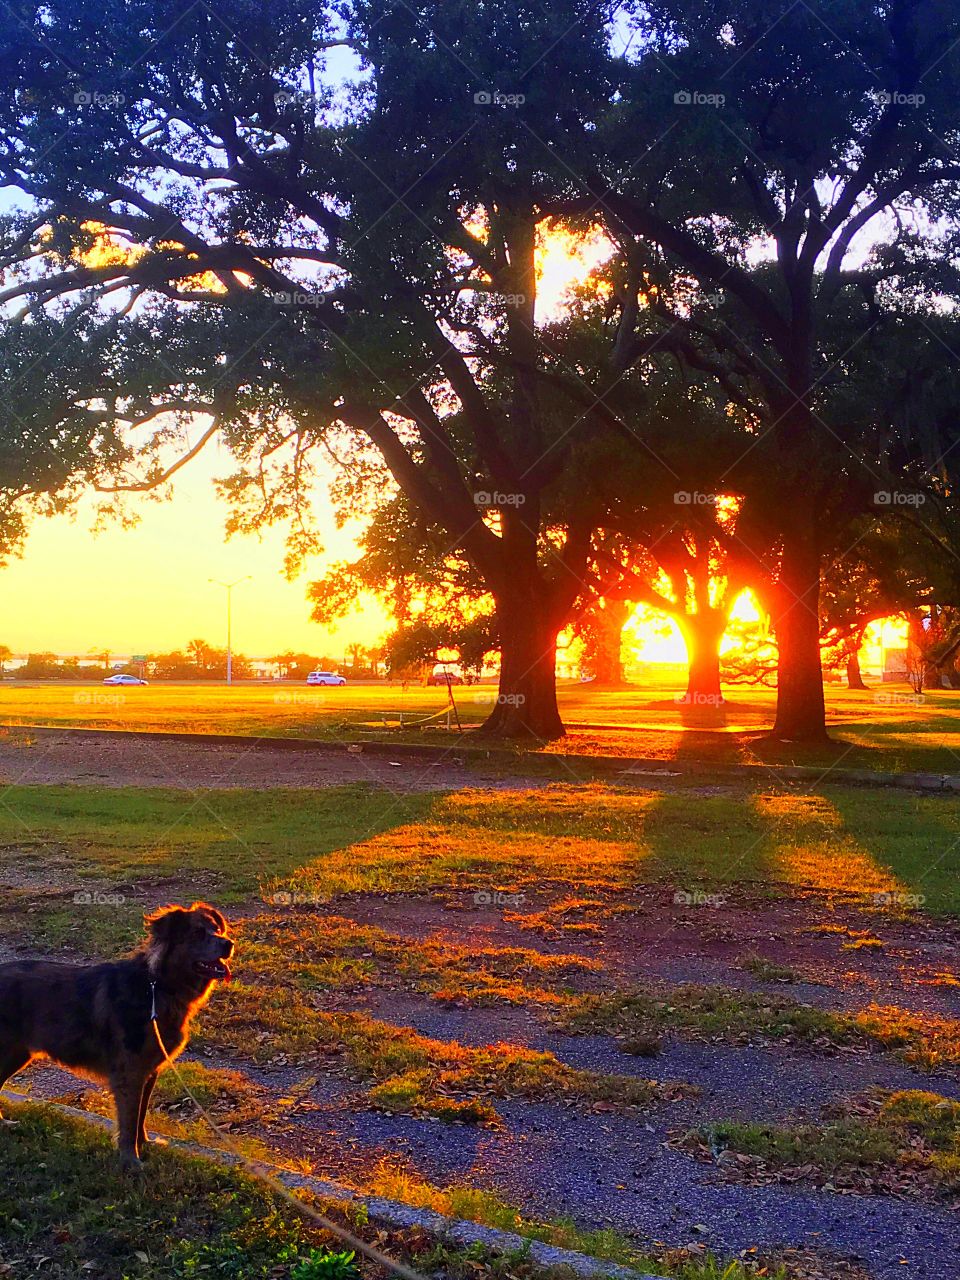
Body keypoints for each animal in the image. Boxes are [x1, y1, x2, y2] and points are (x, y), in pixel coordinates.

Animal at [0, 901, 232, 1172]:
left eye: (217, 929)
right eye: (197, 933)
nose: (229, 944)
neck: (158, 986)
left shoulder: (149, 1071)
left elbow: (141, 1115)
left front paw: (144, 1144)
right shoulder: (129, 1073)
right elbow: (129, 1121)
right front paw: (131, 1160)